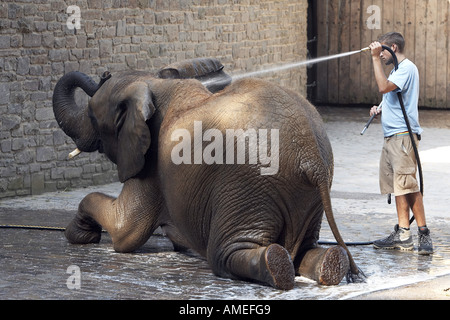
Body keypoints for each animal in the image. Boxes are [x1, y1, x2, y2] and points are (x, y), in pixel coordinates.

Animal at [51, 58, 364, 290]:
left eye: (92, 117)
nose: (103, 73)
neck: (153, 83)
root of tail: (310, 157)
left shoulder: (152, 163)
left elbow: (126, 229)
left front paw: (79, 234)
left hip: (247, 186)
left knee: (224, 254)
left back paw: (275, 265)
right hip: (308, 197)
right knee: (308, 250)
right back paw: (329, 263)